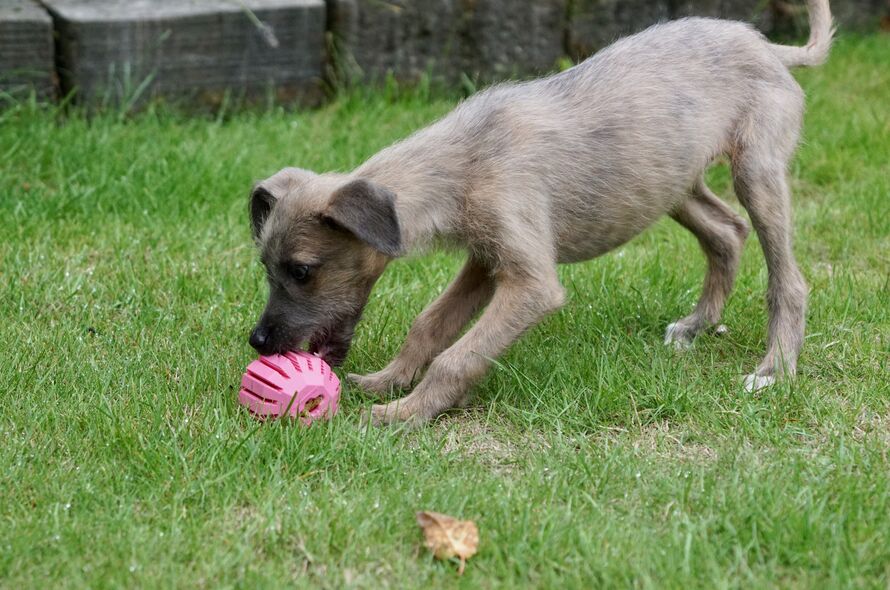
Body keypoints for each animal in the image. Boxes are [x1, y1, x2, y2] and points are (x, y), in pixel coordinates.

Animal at [248, 0, 832, 426]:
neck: (466, 160)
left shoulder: (529, 283)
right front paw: (388, 381)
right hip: (669, 183)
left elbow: (457, 355)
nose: (258, 342)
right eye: (267, 269)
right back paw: (695, 326)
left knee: (787, 279)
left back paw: (774, 369)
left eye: (302, 271)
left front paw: (405, 412)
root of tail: (768, 46)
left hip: (755, 172)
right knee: (726, 232)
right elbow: (429, 324)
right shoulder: (484, 262)